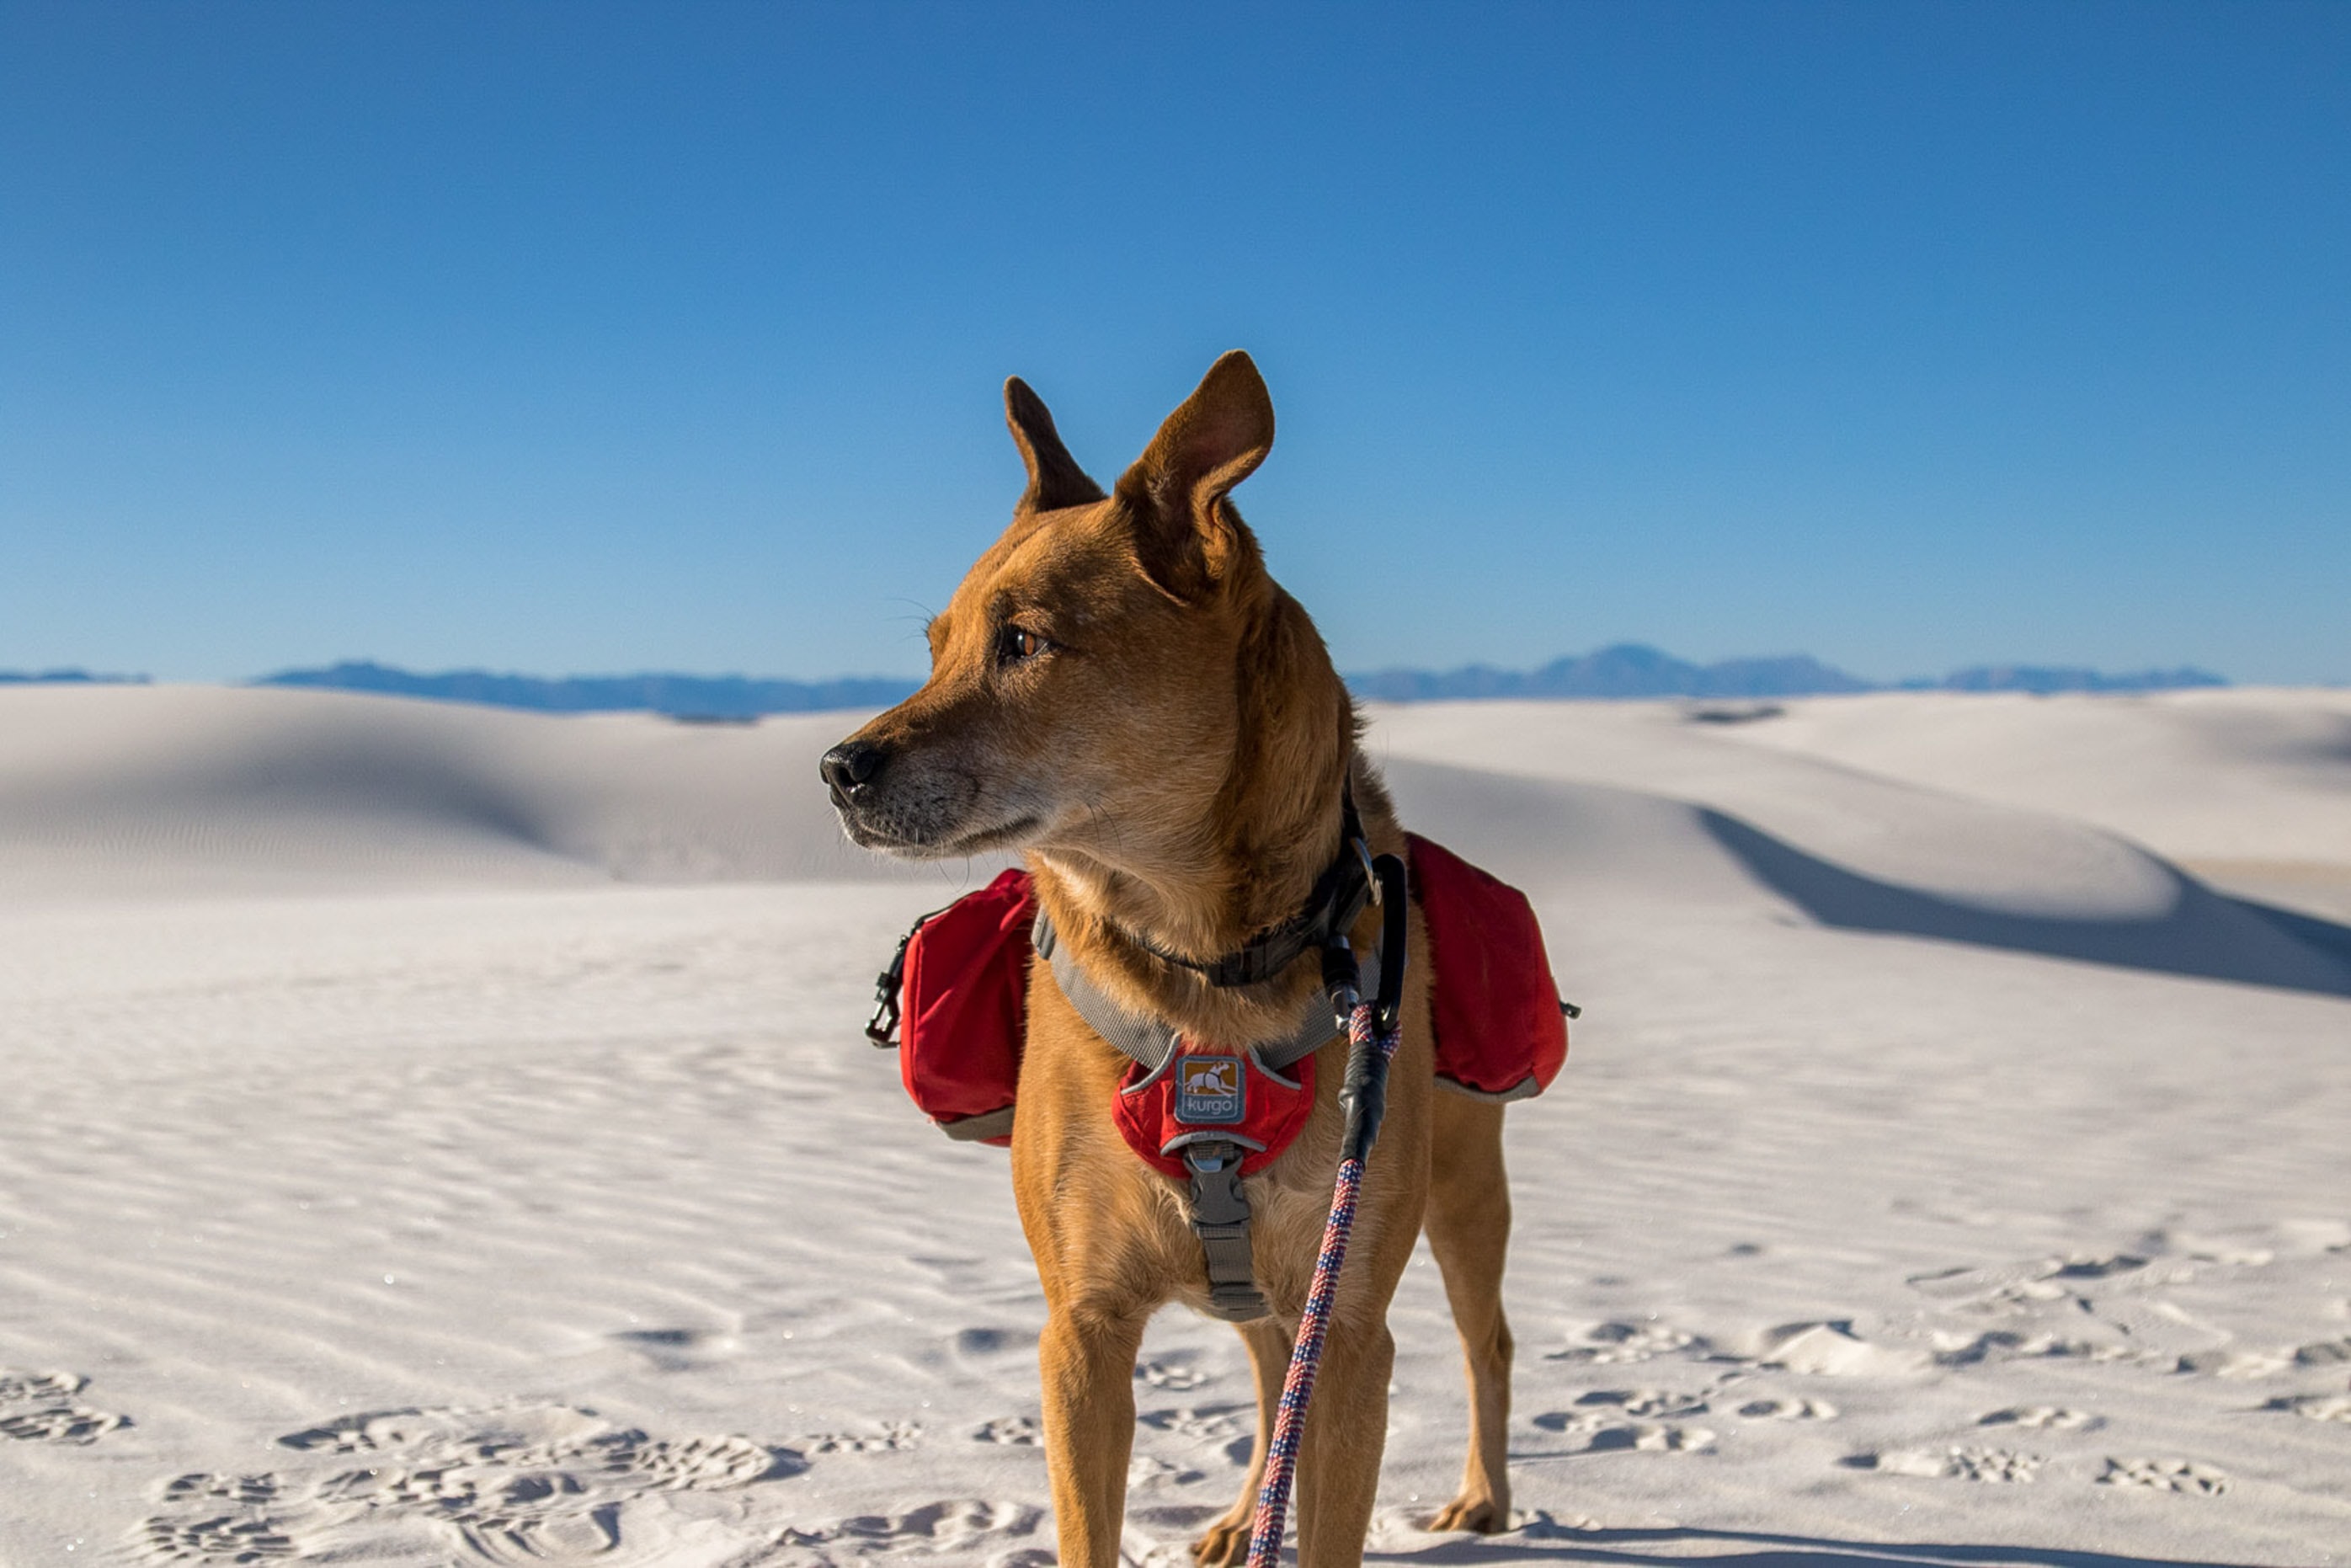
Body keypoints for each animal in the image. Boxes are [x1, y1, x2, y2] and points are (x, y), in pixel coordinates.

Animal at [827, 355, 1514, 1568]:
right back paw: (1245, 1515)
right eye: (936, 644)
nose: (836, 768)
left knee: (1489, 1342)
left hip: (1461, 1196)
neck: (1201, 963)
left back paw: (1484, 1494)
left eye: (1023, 641)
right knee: (1266, 1369)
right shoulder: (1082, 1329)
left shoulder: (1350, 1328)